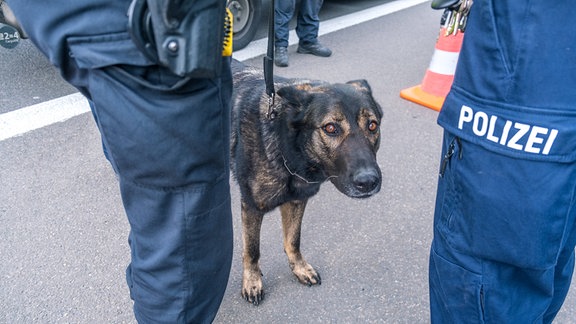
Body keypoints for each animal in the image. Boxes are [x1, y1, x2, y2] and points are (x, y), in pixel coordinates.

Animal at [230, 59, 382, 306]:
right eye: (330, 128)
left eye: (372, 126)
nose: (368, 182)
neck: (287, 147)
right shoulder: (252, 207)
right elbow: (252, 250)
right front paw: (252, 282)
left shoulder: (297, 200)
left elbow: (293, 240)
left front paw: (299, 268)